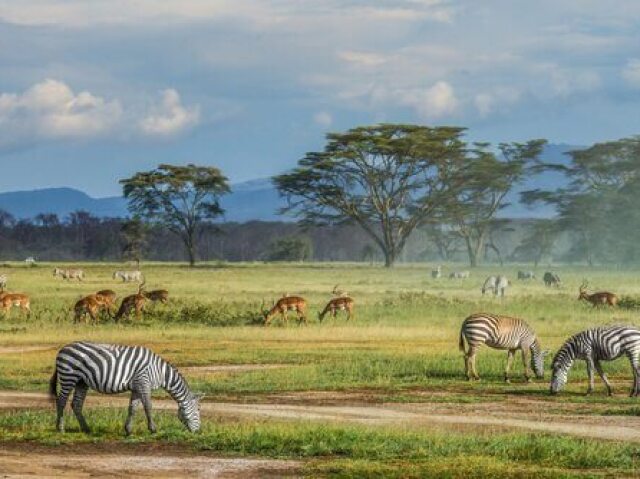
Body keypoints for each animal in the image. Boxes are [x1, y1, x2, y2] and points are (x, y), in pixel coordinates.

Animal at [48, 342, 201, 436]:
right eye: (198, 410)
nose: (199, 431)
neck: (160, 372)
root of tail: (62, 349)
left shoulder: (137, 387)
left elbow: (132, 408)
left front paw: (128, 430)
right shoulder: (143, 382)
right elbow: (148, 406)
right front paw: (153, 429)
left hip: (81, 382)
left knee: (76, 404)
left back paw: (86, 429)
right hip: (69, 377)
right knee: (61, 401)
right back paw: (60, 428)